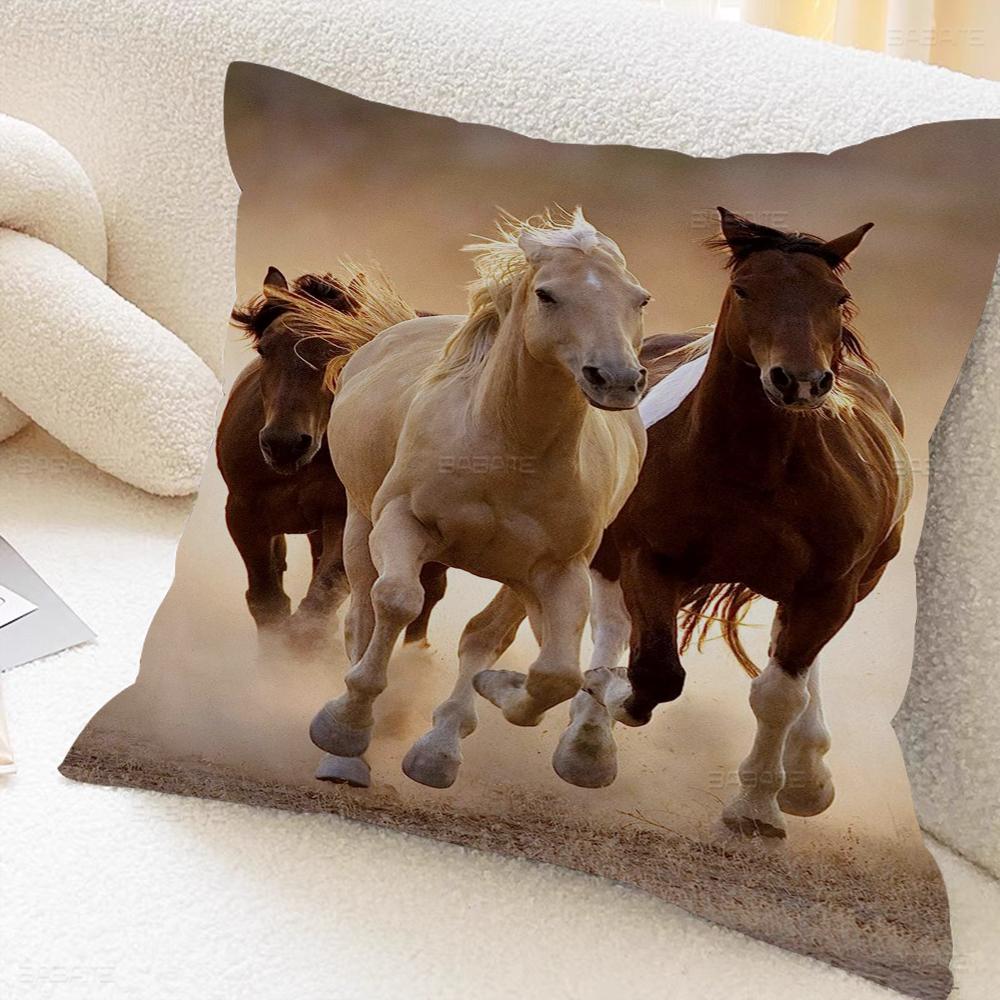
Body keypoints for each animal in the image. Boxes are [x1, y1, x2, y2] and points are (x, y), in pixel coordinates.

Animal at [218, 267, 447, 647]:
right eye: (264, 349)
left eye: (340, 349)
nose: (284, 443)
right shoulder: (243, 513)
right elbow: (267, 601)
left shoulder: (345, 518)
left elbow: (319, 602)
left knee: (430, 590)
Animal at [307, 209, 649, 790]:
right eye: (547, 294)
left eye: (639, 298)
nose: (617, 379)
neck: (506, 448)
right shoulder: (402, 522)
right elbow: (396, 601)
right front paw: (343, 728)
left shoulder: (560, 570)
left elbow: (555, 672)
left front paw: (501, 690)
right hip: (359, 522)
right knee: (364, 616)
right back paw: (347, 757)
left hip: (518, 580)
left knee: (483, 638)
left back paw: (440, 750)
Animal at [556, 208, 911, 839]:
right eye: (745, 289)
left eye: (838, 296)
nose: (800, 381)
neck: (755, 471)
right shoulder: (651, 558)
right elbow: (655, 672)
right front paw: (606, 699)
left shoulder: (829, 589)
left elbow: (780, 693)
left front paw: (758, 808)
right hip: (609, 552)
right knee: (612, 623)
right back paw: (588, 743)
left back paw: (806, 776)